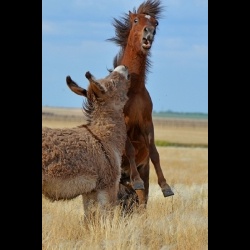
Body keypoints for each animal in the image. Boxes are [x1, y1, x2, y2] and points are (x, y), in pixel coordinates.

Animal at [107, 0, 174, 207]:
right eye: (136, 20)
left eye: (156, 22)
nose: (149, 32)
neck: (134, 89)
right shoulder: (122, 122)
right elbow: (129, 148)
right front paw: (136, 180)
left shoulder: (146, 122)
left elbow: (154, 152)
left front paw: (166, 187)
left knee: (141, 203)